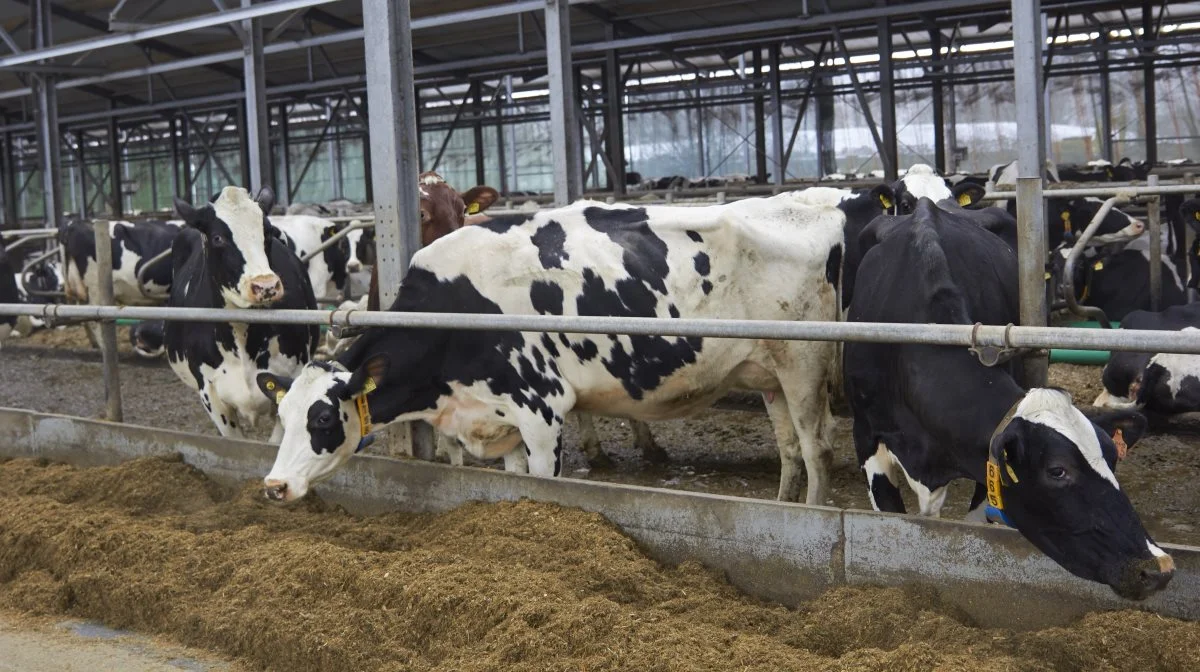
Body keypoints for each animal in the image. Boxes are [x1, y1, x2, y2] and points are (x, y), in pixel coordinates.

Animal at [259, 194, 849, 504]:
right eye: (282, 417)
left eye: (322, 420)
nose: (273, 484)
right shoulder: (498, 419)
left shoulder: (541, 409)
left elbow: (546, 485)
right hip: (769, 372)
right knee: (790, 450)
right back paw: (784, 507)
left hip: (805, 366)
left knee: (817, 450)